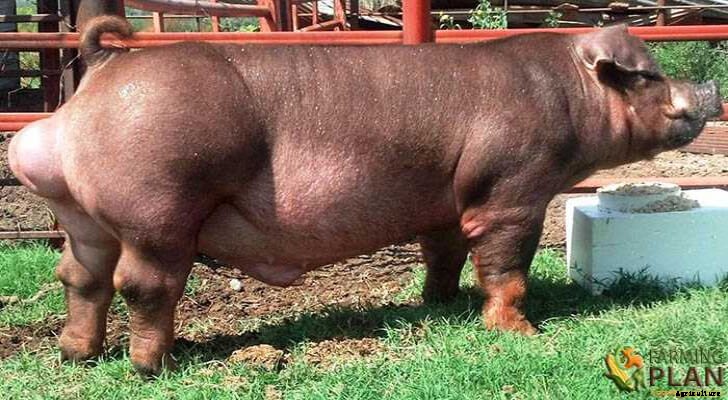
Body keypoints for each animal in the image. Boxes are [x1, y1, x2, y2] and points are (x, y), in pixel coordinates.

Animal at [8, 16, 723, 375]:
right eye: (648, 75)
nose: (710, 90)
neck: (568, 95)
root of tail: (101, 74)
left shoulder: (447, 200)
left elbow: (444, 253)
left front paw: (440, 304)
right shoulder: (511, 189)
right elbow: (506, 266)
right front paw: (522, 331)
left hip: (80, 216)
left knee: (79, 275)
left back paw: (77, 355)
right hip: (158, 205)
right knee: (143, 284)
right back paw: (152, 366)